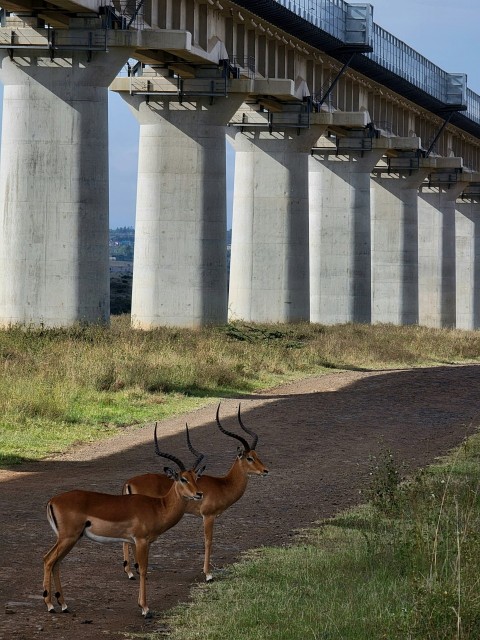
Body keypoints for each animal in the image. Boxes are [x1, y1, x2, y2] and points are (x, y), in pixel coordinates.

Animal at [42, 428, 204, 616]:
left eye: (196, 477)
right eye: (183, 479)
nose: (199, 494)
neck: (158, 507)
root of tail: (52, 500)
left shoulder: (140, 542)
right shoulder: (141, 541)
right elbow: (143, 569)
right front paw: (145, 608)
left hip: (70, 539)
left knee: (56, 563)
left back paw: (63, 605)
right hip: (68, 538)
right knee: (48, 560)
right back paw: (50, 605)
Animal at [122, 404, 268, 580]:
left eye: (256, 455)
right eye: (249, 458)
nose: (265, 471)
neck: (223, 484)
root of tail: (129, 482)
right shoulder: (208, 516)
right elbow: (208, 541)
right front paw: (208, 574)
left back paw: (132, 571)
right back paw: (132, 572)